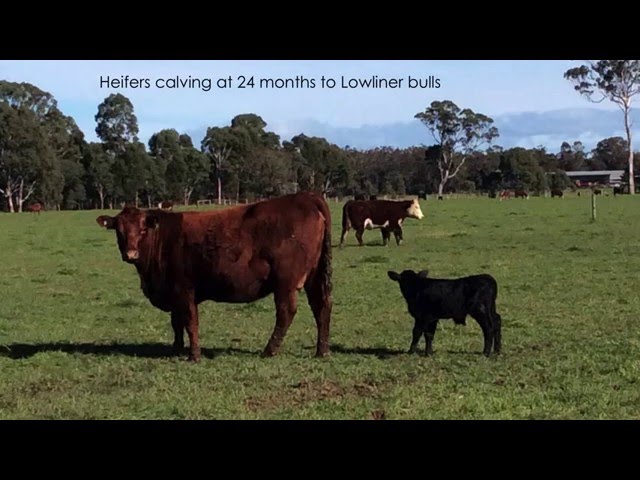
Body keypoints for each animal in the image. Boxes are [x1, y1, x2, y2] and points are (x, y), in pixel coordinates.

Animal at [97, 189, 336, 362]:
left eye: (142, 229)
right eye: (119, 230)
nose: (130, 254)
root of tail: (305, 197)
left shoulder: (184, 289)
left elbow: (190, 322)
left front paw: (194, 356)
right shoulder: (174, 293)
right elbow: (176, 322)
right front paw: (176, 349)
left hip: (285, 282)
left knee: (286, 312)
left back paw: (269, 350)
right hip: (314, 277)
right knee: (321, 306)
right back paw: (322, 350)